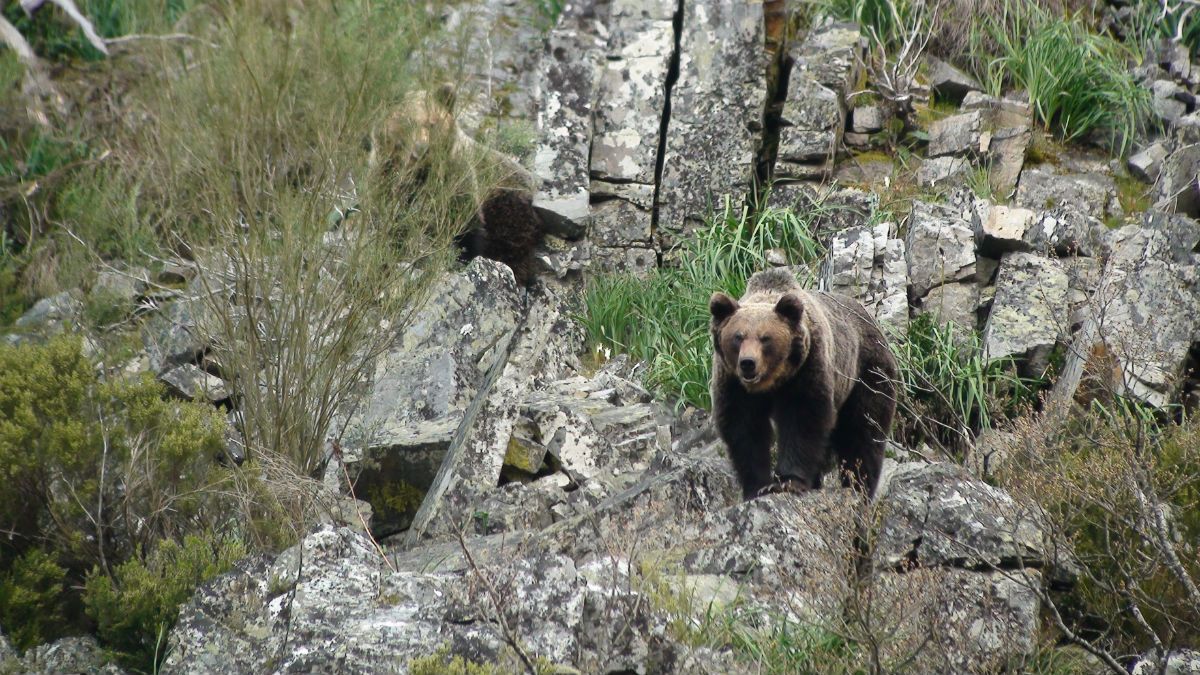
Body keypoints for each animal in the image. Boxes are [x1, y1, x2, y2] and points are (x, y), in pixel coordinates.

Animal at [709, 268, 898, 499]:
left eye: (765, 338)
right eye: (738, 336)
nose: (748, 363)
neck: (771, 382)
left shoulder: (806, 369)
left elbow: (802, 419)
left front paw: (789, 481)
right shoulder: (733, 383)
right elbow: (744, 428)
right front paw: (758, 486)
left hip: (866, 373)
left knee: (863, 431)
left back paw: (859, 488)